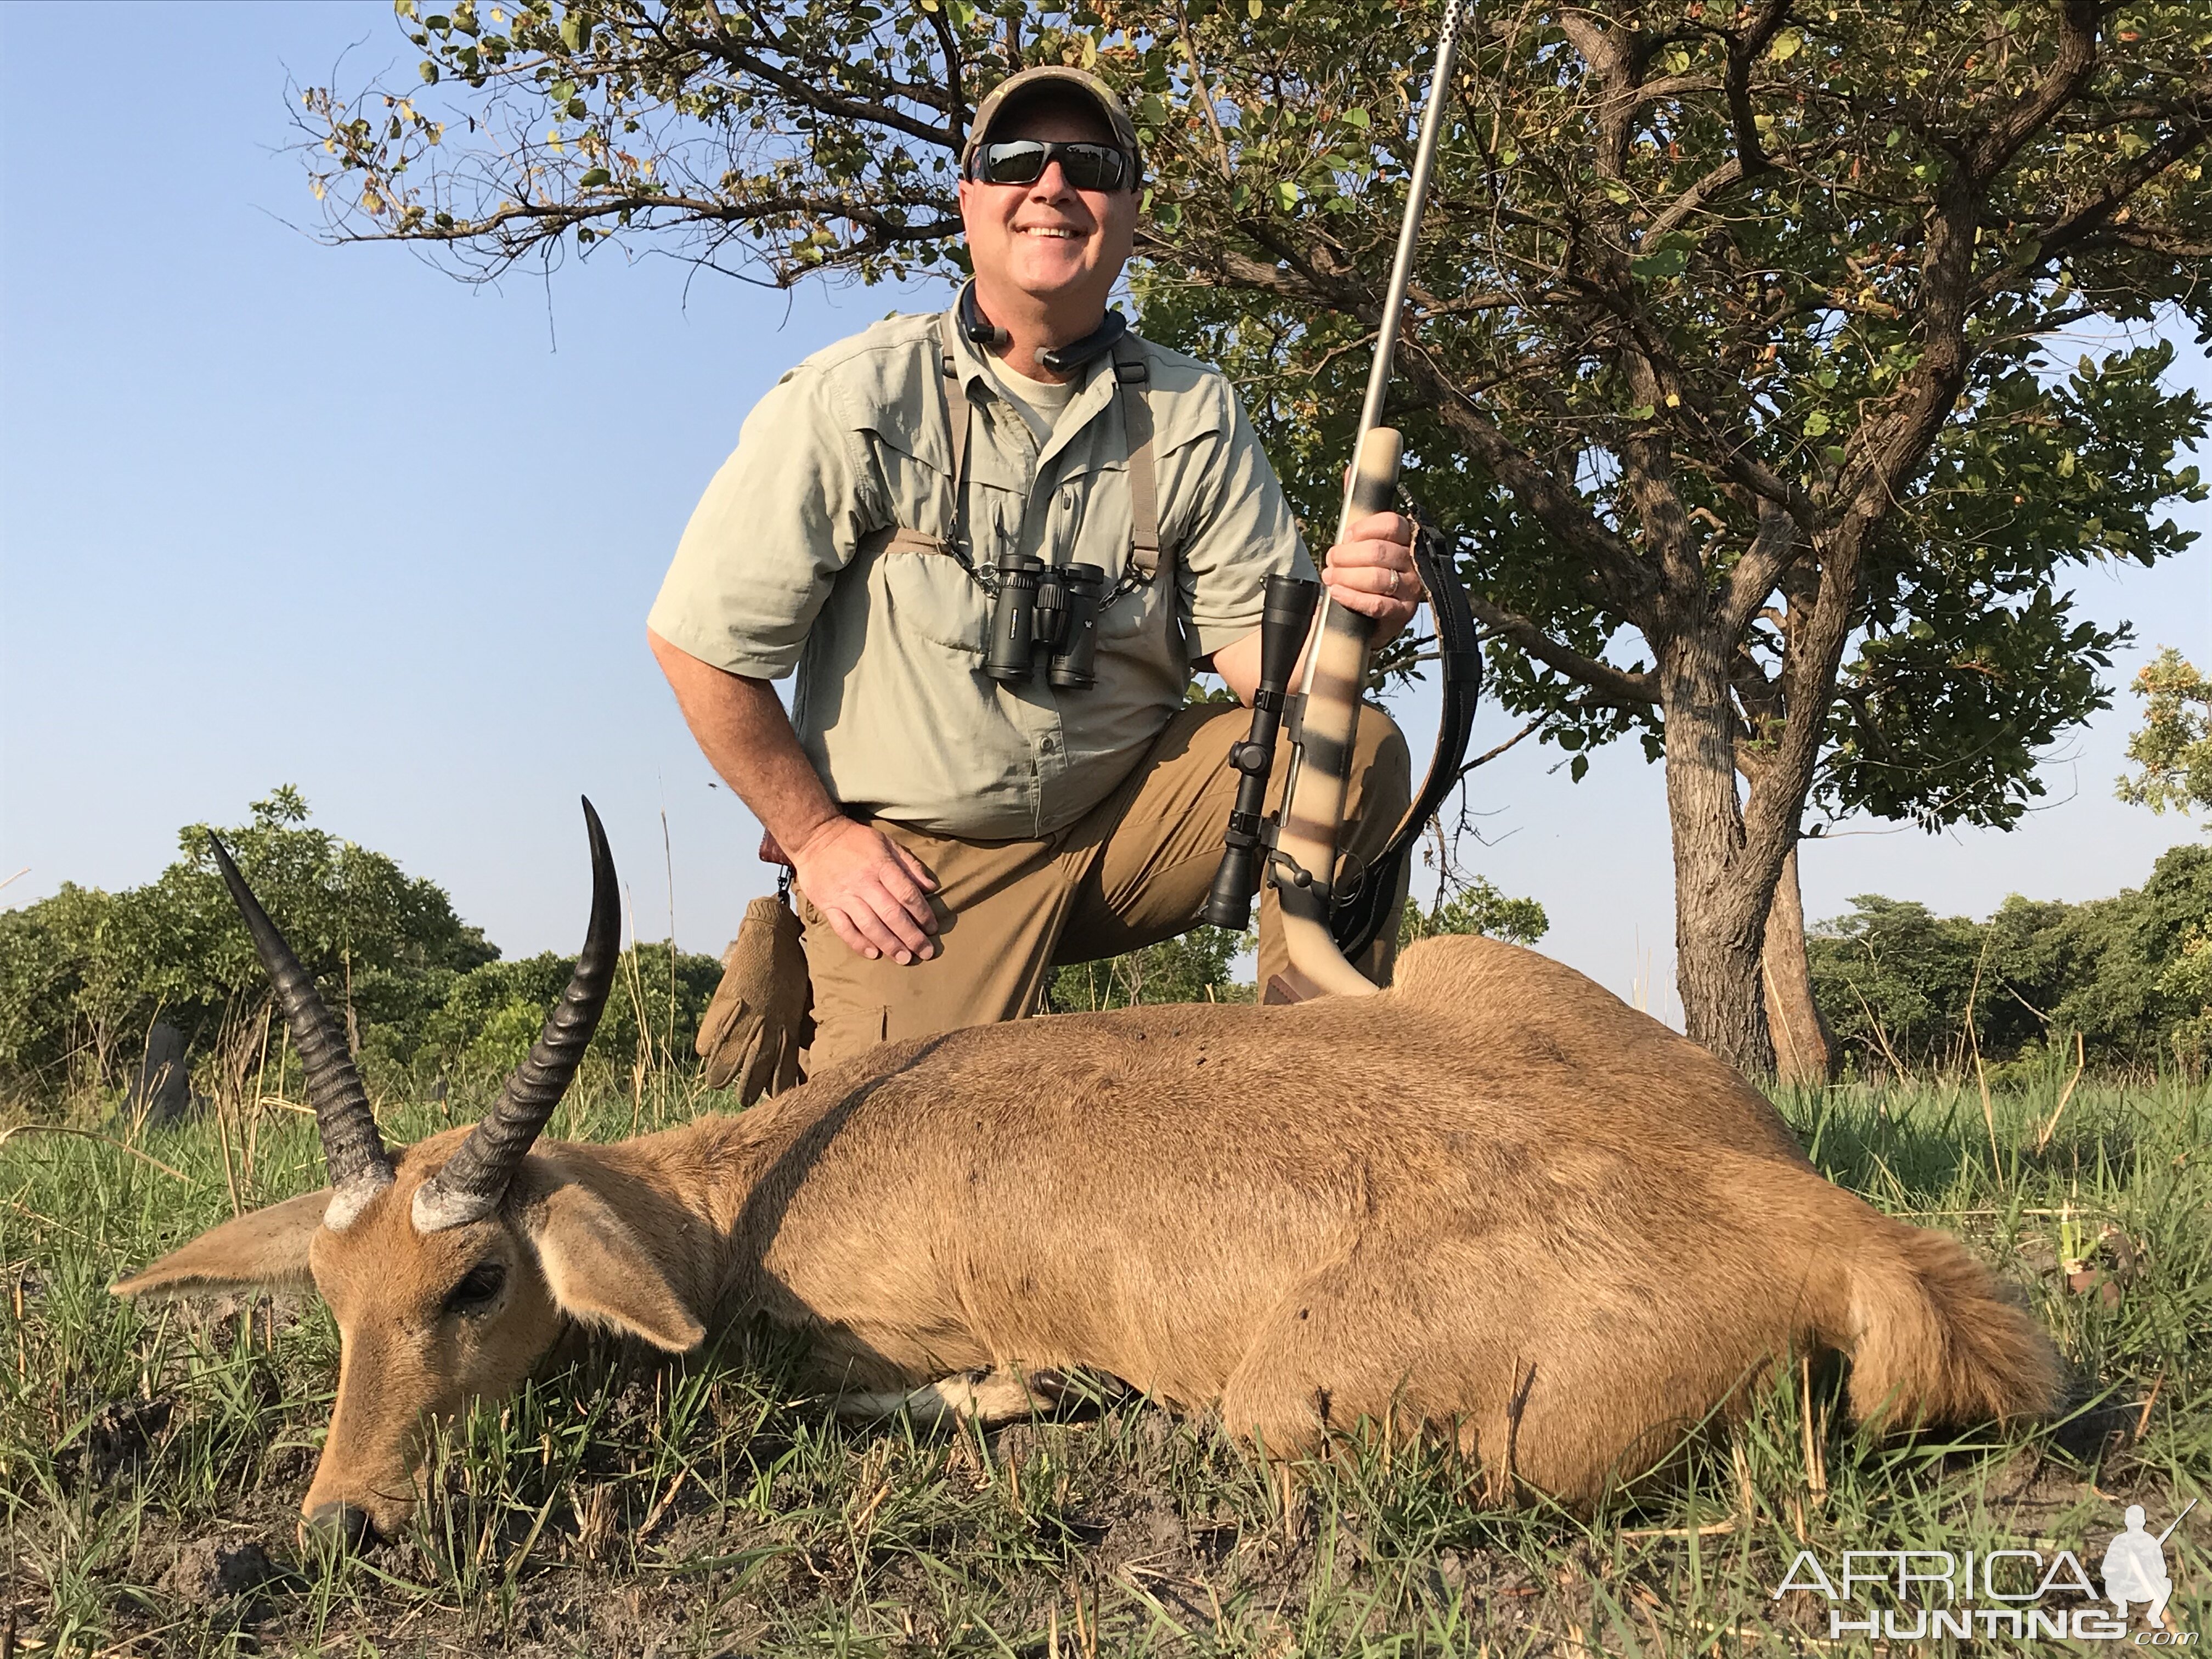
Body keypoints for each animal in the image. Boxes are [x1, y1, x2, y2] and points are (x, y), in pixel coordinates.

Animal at [116, 805, 2052, 1548]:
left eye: (475, 1278)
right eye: (331, 1292)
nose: (340, 1516)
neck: (747, 1193)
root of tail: (1838, 1239)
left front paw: (1028, 1395)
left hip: (1291, 1405)